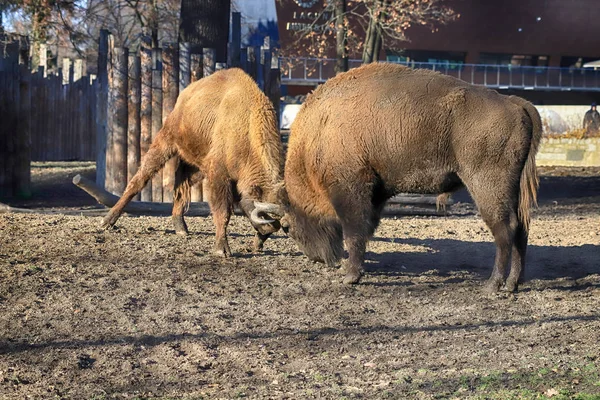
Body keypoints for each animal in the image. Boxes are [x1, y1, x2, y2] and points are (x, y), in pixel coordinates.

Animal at [101, 65, 284, 253]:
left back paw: (181, 227)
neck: (247, 126)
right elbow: (223, 212)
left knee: (180, 186)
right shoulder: (219, 175)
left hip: (196, 165)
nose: (260, 242)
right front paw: (221, 249)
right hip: (165, 142)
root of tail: (186, 93)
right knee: (139, 180)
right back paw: (107, 221)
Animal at [258, 63, 544, 294]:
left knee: (504, 229)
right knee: (521, 228)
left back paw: (493, 285)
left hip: (486, 186)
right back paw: (513, 284)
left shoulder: (351, 190)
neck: (319, 132)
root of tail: (514, 102)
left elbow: (354, 231)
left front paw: (350, 276)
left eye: (287, 227)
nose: (317, 259)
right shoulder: (376, 192)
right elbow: (366, 229)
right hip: (514, 190)